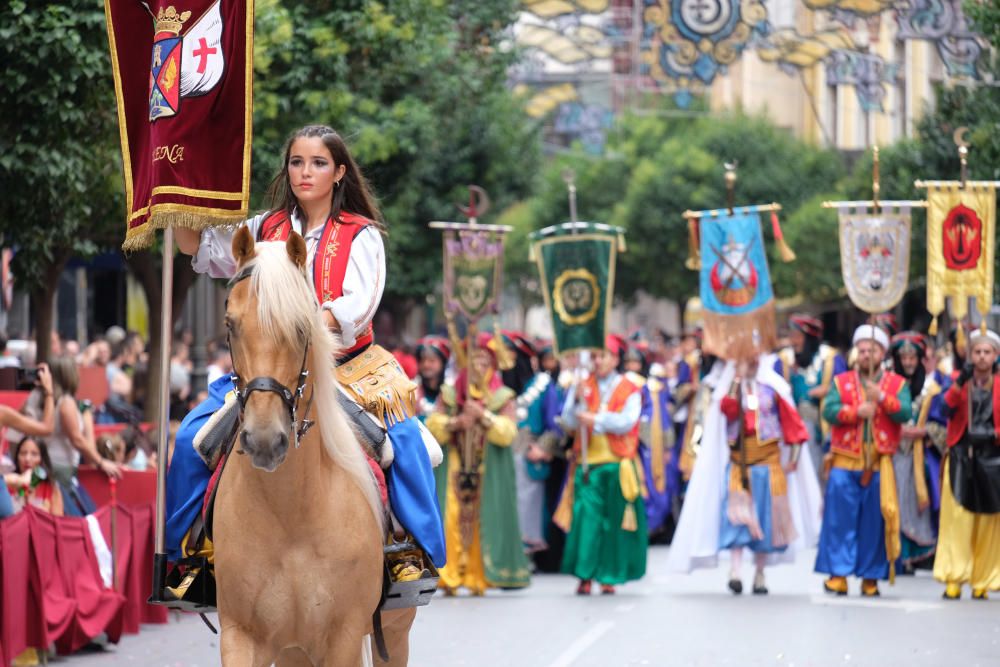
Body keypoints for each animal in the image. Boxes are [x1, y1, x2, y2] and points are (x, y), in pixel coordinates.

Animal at [217, 230, 384, 667]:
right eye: (230, 324)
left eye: (299, 327)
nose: (263, 440)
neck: (291, 511)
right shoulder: (241, 633)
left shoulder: (344, 636)